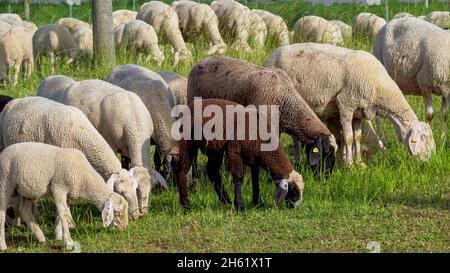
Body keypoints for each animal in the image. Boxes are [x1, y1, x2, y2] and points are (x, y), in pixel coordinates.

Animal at [0, 96, 141, 220]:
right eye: (121, 192)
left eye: (135, 188)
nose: (136, 216)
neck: (80, 132)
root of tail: (17, 100)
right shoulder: (63, 168)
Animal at [0, 141, 130, 250]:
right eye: (118, 212)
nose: (125, 228)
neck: (85, 178)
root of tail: (3, 152)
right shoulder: (58, 188)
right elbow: (64, 215)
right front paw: (68, 242)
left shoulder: (67, 194)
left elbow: (62, 214)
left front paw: (59, 236)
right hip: (4, 183)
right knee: (2, 214)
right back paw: (3, 245)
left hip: (28, 190)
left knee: (25, 210)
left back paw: (41, 237)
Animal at [37, 75, 169, 214]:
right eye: (137, 188)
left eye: (151, 188)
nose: (143, 211)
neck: (135, 121)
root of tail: (76, 83)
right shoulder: (111, 143)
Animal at [264, 42, 436, 164]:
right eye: (424, 138)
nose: (428, 163)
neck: (378, 86)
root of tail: (269, 57)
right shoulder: (346, 104)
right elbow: (348, 138)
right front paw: (349, 165)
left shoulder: (360, 112)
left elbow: (357, 137)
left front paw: (359, 164)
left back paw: (298, 160)